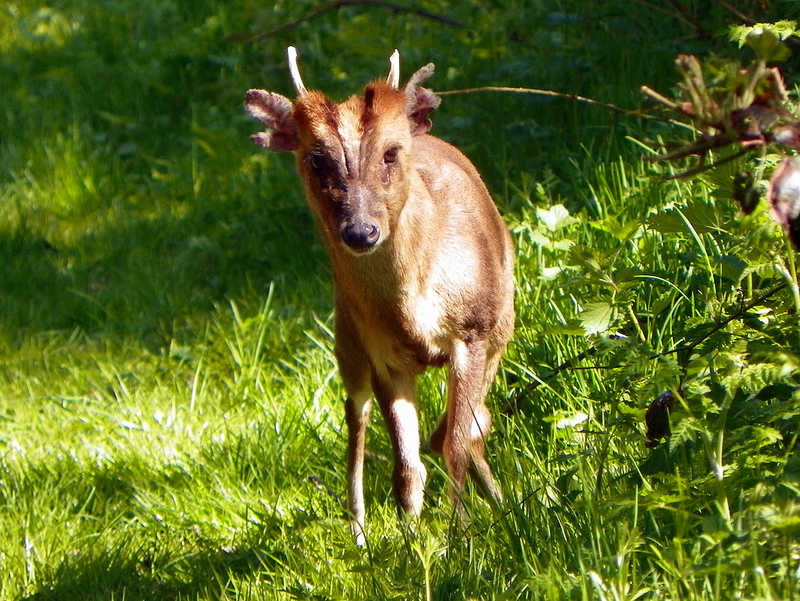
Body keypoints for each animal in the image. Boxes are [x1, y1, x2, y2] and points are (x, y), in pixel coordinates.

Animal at [244, 48, 516, 544]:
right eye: (316, 160)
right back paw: (358, 531)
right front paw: (415, 545)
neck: (414, 309)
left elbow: (456, 441)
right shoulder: (386, 355)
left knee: (462, 429)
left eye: (391, 152)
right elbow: (406, 470)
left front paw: (463, 534)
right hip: (346, 337)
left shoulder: (477, 331)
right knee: (356, 419)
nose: (360, 230)